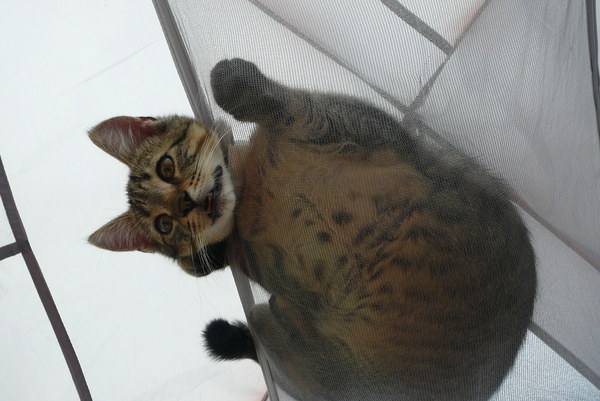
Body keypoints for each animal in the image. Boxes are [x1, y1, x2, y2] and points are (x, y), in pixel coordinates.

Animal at [88, 58, 537, 401]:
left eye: (166, 167)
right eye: (164, 226)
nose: (184, 205)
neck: (254, 189)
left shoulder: (345, 123)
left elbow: (278, 100)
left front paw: (227, 78)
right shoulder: (265, 265)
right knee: (279, 332)